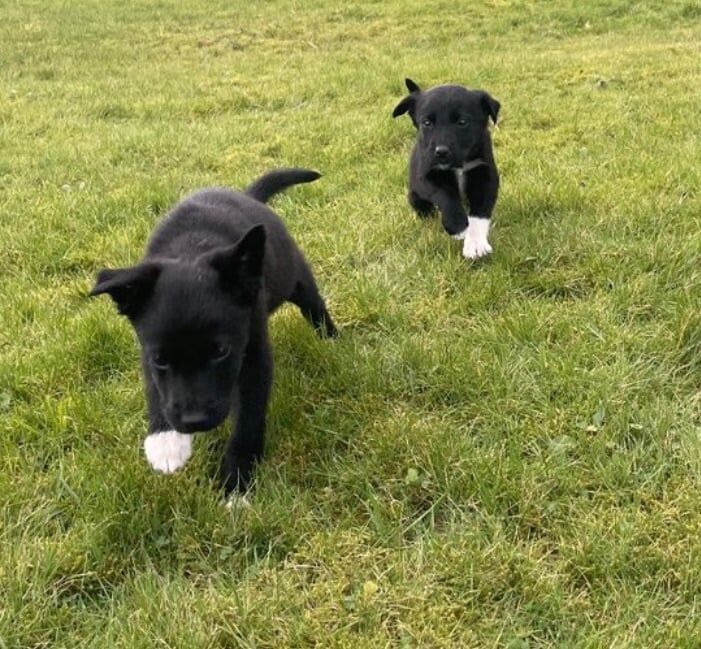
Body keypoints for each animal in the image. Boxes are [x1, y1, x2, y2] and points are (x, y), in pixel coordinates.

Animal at [90, 167, 336, 492]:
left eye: (220, 351)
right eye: (161, 359)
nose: (193, 421)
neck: (191, 252)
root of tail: (247, 196)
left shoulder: (253, 354)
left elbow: (248, 419)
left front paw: (236, 481)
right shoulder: (147, 353)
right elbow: (156, 389)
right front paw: (165, 441)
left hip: (293, 278)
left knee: (315, 306)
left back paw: (331, 340)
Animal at [392, 76, 500, 258]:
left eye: (462, 122)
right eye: (427, 123)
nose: (441, 152)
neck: (459, 164)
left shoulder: (485, 174)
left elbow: (479, 212)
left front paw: (475, 244)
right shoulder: (427, 175)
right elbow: (445, 195)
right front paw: (457, 225)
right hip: (414, 196)